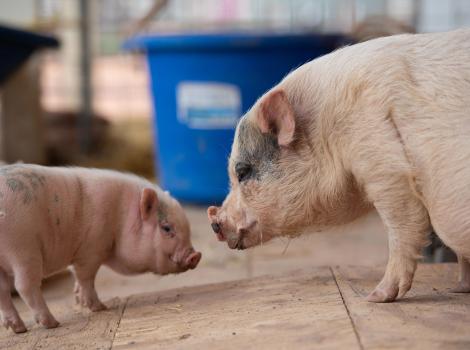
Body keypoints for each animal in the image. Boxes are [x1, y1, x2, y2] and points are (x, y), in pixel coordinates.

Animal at [0, 164, 200, 334]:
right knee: (25, 286)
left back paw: (18, 329)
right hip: (24, 251)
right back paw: (52, 323)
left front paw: (79, 300)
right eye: (166, 228)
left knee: (3, 291)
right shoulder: (91, 250)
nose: (196, 255)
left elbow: (78, 279)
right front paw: (99, 308)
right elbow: (86, 278)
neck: (121, 216)